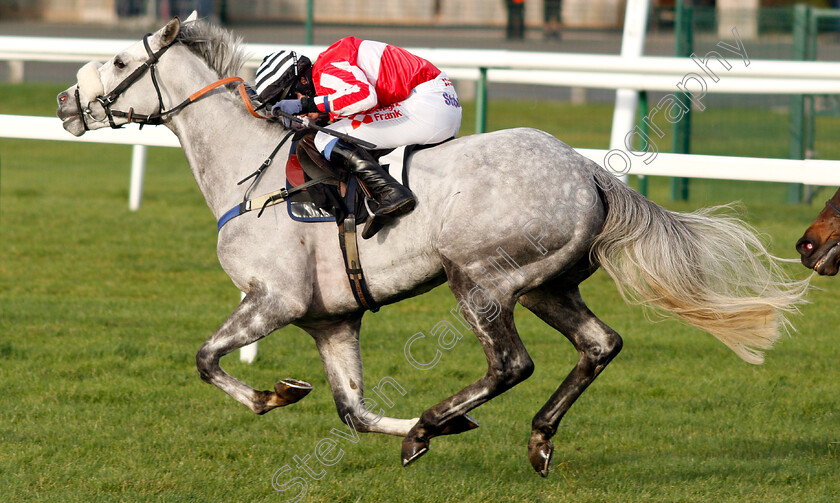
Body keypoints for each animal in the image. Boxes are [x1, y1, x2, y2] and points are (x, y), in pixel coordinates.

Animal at [57, 16, 808, 476]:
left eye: (120, 60)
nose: (65, 103)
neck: (251, 170)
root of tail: (588, 168)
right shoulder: (331, 319)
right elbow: (353, 411)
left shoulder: (274, 300)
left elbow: (207, 359)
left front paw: (275, 396)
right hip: (545, 285)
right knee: (600, 344)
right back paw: (530, 436)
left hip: (479, 280)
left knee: (511, 363)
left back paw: (434, 422)